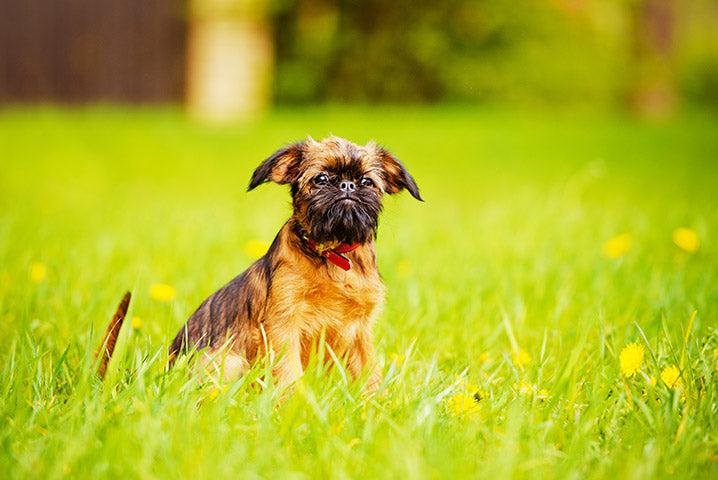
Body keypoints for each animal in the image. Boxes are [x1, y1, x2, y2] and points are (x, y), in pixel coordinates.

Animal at [167, 136, 422, 394]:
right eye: (321, 179)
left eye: (367, 181)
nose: (348, 185)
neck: (333, 252)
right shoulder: (284, 323)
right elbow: (288, 371)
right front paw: (294, 401)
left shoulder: (360, 330)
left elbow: (370, 371)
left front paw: (378, 400)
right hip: (230, 361)